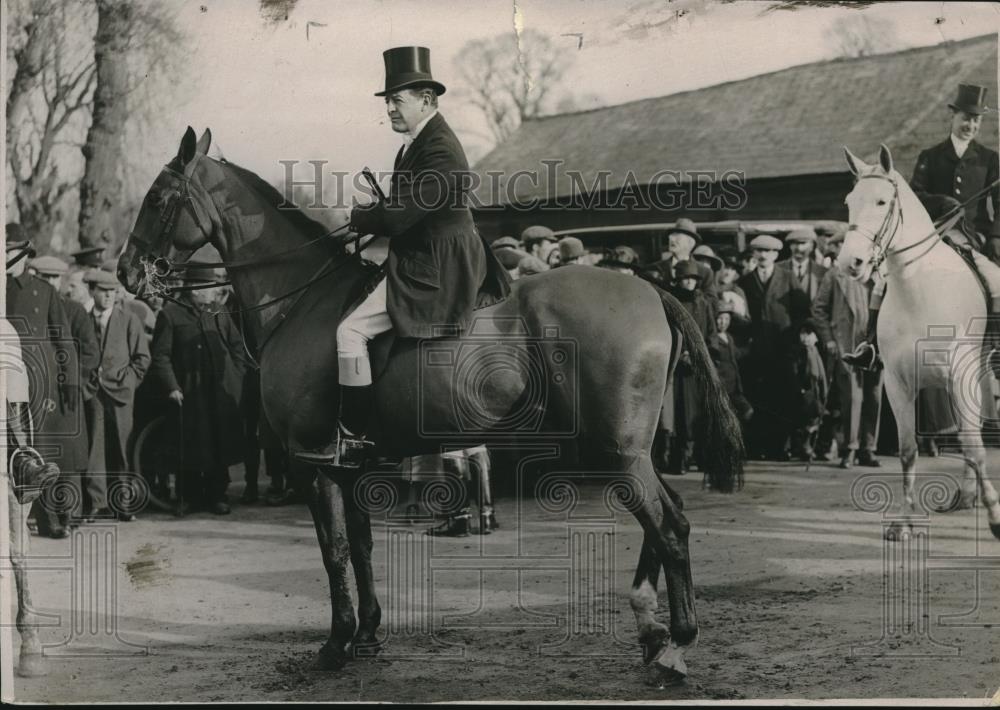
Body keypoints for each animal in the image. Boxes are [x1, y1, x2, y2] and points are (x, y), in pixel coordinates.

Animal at [117, 128, 744, 688]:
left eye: (157, 198)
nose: (126, 272)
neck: (302, 299)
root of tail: (650, 288)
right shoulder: (351, 465)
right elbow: (363, 547)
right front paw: (368, 635)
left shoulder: (313, 461)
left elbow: (334, 550)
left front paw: (336, 643)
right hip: (628, 450)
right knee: (667, 516)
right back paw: (651, 629)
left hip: (616, 450)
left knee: (670, 527)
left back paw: (675, 647)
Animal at [840, 146, 1000, 544]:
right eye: (849, 201)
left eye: (882, 201)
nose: (850, 263)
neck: (919, 288)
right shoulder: (898, 385)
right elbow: (909, 451)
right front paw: (904, 522)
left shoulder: (959, 376)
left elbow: (974, 447)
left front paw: (995, 517)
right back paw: (966, 494)